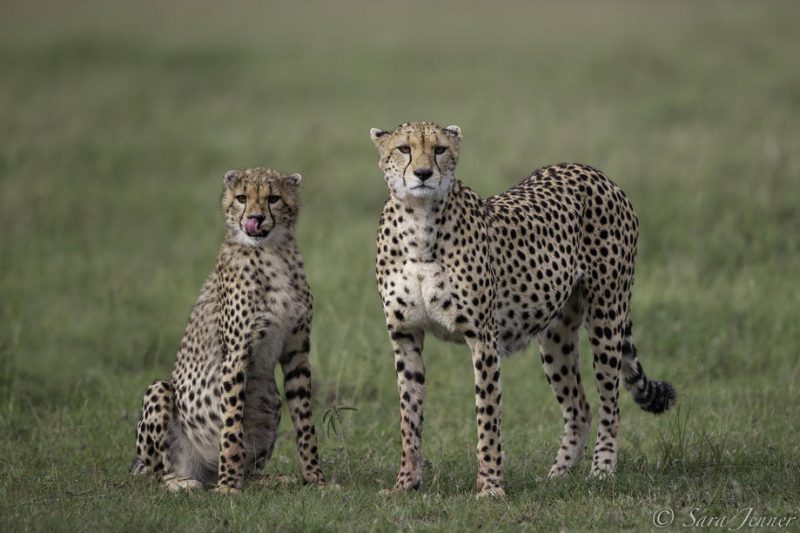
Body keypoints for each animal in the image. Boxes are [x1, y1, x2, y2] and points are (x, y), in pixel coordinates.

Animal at [131, 167, 325, 493]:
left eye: (273, 198)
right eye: (242, 198)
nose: (255, 218)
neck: (272, 252)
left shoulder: (297, 352)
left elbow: (305, 421)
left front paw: (316, 479)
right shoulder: (236, 354)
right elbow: (231, 424)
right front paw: (228, 487)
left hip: (270, 399)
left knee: (252, 466)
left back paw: (268, 479)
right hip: (159, 392)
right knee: (159, 472)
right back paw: (184, 482)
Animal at [370, 121, 676, 497]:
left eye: (439, 149)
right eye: (404, 149)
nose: (424, 173)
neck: (419, 224)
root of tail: (590, 170)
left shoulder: (483, 339)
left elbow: (487, 416)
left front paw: (490, 487)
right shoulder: (405, 335)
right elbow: (409, 415)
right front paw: (405, 484)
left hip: (607, 314)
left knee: (609, 402)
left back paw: (602, 469)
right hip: (556, 335)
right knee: (579, 407)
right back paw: (557, 476)